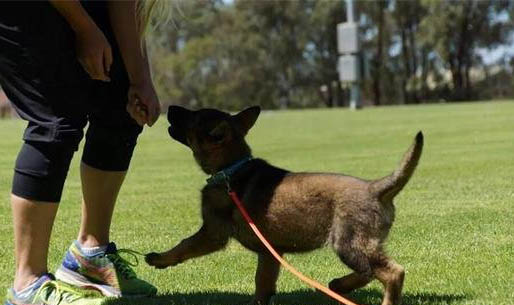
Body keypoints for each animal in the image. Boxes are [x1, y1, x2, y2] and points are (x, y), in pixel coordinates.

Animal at [146, 105, 422, 304]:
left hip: (348, 243)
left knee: (392, 272)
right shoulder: (270, 253)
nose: (170, 107)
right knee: (369, 271)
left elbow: (184, 245)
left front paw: (160, 258)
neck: (230, 168)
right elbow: (263, 284)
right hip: (359, 245)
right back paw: (339, 285)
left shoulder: (213, 233)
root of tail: (375, 188)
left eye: (194, 117)